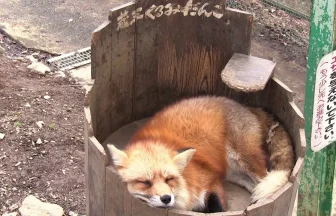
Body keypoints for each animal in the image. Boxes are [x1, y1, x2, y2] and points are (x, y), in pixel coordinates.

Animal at [107, 96, 294, 213]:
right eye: (145, 183)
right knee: (255, 187)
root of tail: (246, 107)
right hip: (233, 173)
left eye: (169, 179)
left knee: (266, 178)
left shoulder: (210, 180)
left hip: (245, 159)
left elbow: (217, 209)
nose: (166, 198)